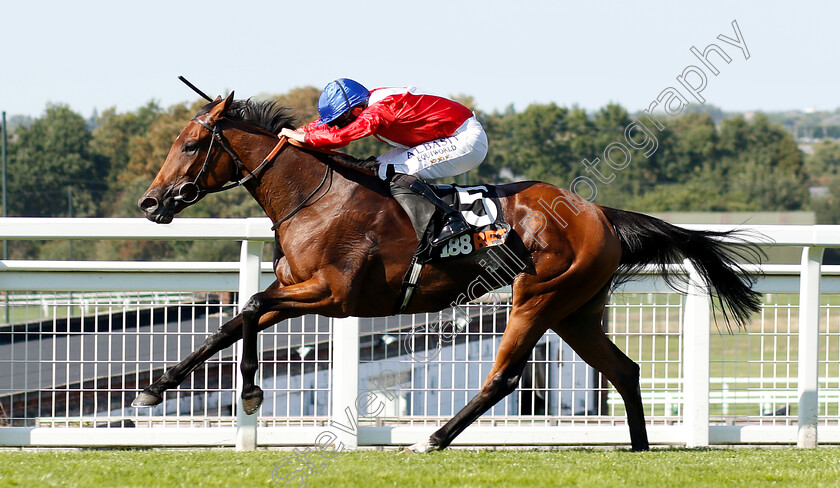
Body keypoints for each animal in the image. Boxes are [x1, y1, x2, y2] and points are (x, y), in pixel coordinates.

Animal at [135, 93, 764, 452]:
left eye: (190, 144)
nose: (150, 202)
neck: (316, 197)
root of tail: (600, 213)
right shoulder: (297, 288)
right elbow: (231, 322)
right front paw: (156, 387)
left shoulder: (334, 296)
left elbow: (248, 309)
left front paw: (249, 392)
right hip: (576, 312)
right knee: (625, 370)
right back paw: (638, 450)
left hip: (537, 297)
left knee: (504, 378)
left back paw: (431, 440)